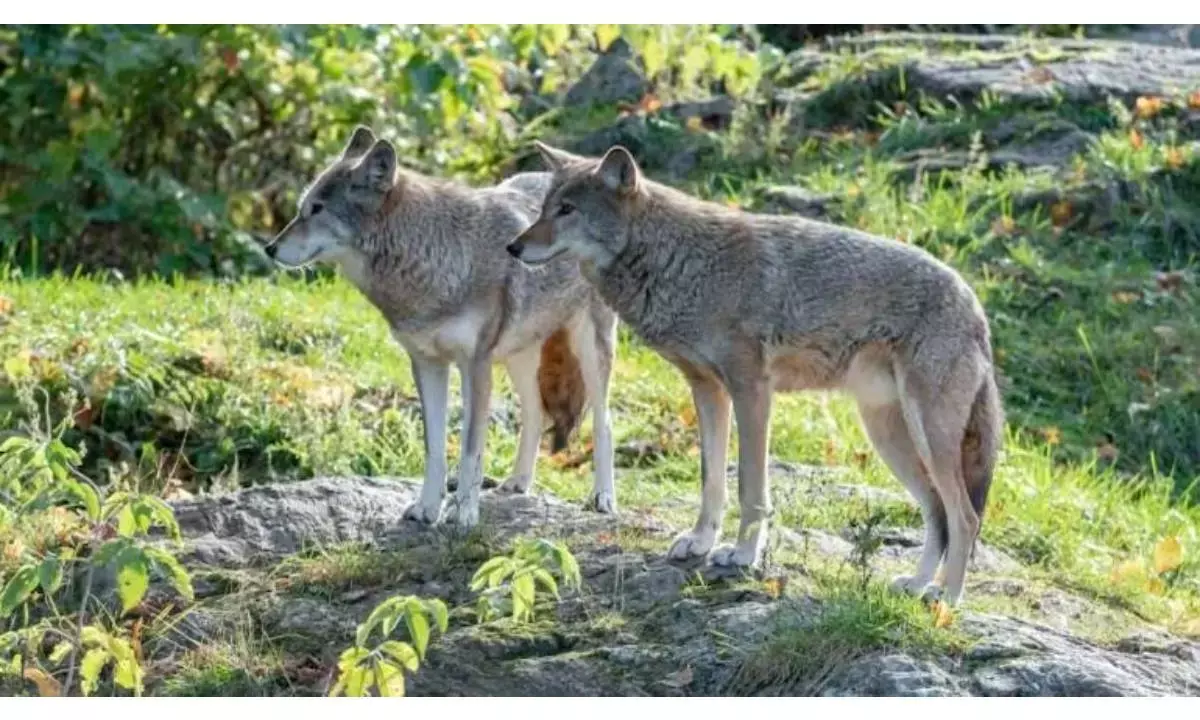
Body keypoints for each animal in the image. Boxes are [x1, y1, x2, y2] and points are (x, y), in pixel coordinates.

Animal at [264, 126, 619, 529]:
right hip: (519, 356)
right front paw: (427, 508)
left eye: (317, 209)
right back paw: (517, 483)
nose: (270, 248)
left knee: (604, 422)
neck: (433, 262)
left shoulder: (475, 366)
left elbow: (470, 449)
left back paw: (602, 498)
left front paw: (463, 511)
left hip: (589, 351)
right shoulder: (426, 364)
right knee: (536, 413)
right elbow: (434, 447)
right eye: (301, 208)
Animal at [506, 142, 1003, 605]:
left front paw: (742, 556)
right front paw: (701, 542)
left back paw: (946, 599)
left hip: (926, 436)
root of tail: (976, 306)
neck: (682, 262)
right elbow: (711, 480)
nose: (513, 247)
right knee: (937, 512)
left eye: (567, 210)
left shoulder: (752, 391)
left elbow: (750, 485)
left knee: (965, 516)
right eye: (545, 208)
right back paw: (916, 585)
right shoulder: (707, 391)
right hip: (889, 437)